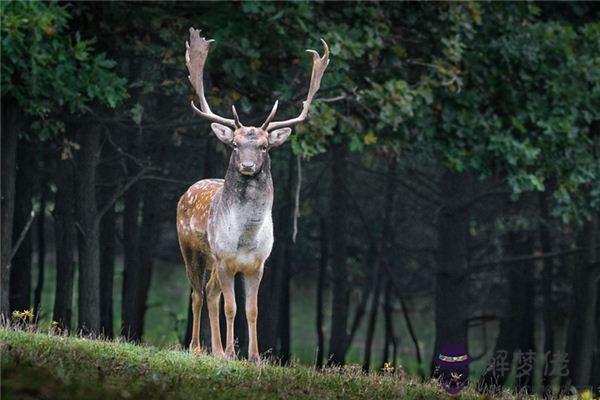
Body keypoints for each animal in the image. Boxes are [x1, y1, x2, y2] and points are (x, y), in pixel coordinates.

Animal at [176, 26, 330, 360]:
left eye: (264, 146)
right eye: (235, 144)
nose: (247, 166)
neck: (245, 238)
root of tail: (188, 191)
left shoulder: (258, 264)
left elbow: (252, 310)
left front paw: (254, 357)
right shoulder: (224, 259)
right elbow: (231, 308)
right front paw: (231, 353)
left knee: (210, 293)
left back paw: (215, 349)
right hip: (191, 249)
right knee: (197, 293)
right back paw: (198, 348)